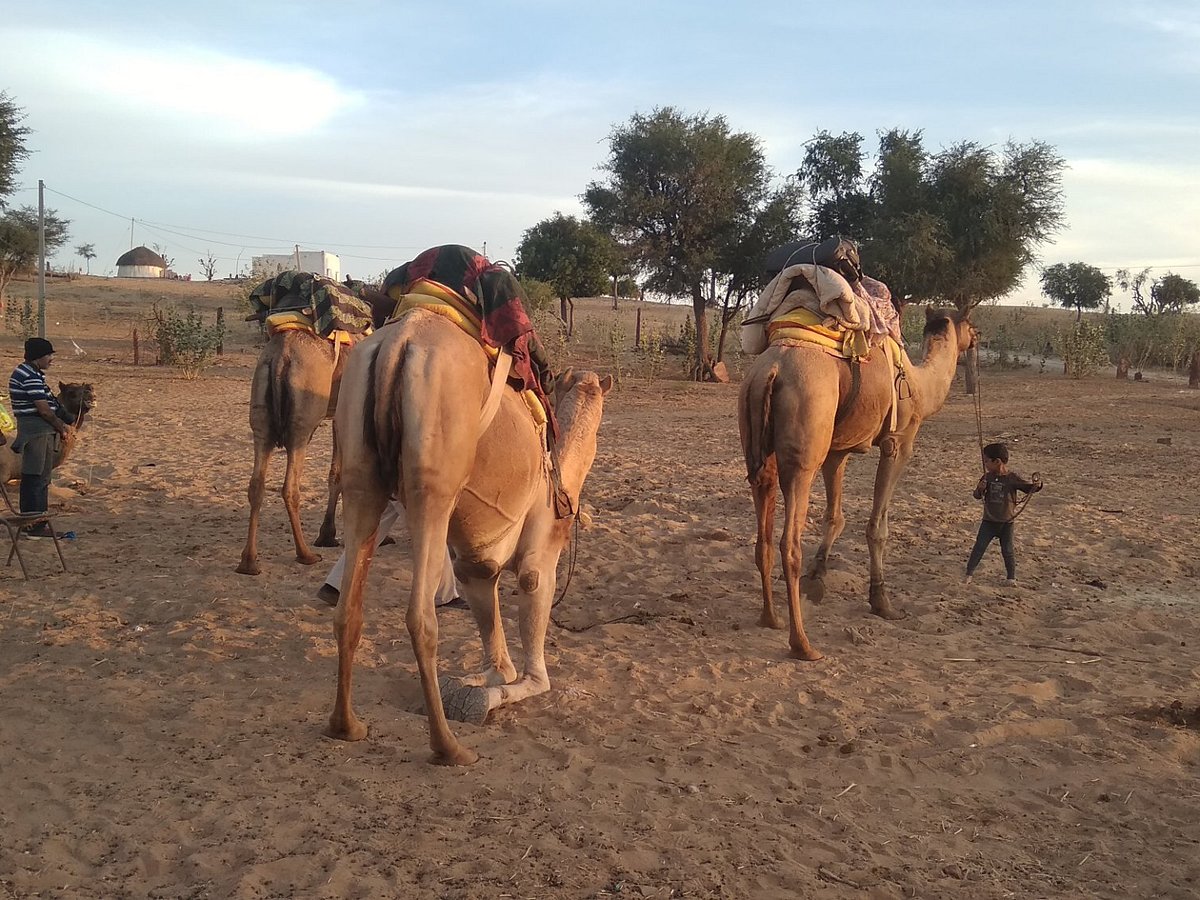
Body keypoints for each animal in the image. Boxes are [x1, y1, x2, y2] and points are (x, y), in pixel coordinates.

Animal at [326, 312, 614, 768]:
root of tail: (398, 342)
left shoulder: (475, 564)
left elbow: (495, 648)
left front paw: (474, 685)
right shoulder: (540, 553)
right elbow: (535, 673)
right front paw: (488, 695)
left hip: (361, 470)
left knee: (349, 605)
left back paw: (346, 725)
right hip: (434, 480)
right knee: (420, 617)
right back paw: (448, 747)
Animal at [734, 309, 979, 662]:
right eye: (970, 325)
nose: (977, 336)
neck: (921, 386)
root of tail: (771, 370)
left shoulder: (839, 451)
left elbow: (835, 517)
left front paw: (817, 579)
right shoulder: (898, 442)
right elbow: (878, 527)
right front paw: (882, 601)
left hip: (755, 440)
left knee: (763, 534)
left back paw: (771, 618)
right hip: (804, 447)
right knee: (789, 543)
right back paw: (803, 645)